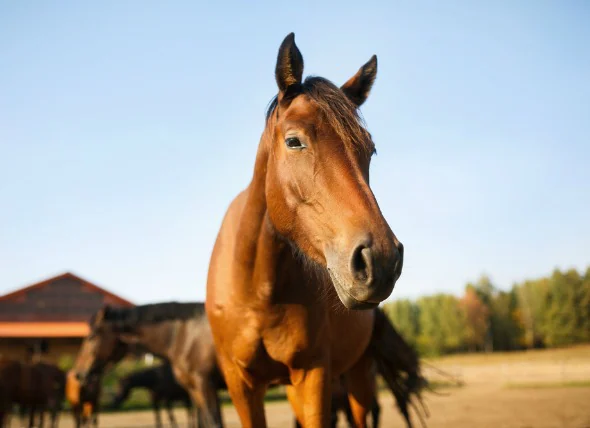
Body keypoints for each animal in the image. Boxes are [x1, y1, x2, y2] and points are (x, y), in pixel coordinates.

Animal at [70, 302, 227, 426]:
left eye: (91, 337)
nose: (78, 373)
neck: (184, 335)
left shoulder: (205, 385)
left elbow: (215, 422)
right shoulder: (194, 390)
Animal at [208, 31, 408, 426]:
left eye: (370, 150)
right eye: (293, 141)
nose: (380, 260)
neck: (258, 289)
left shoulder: (313, 374)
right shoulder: (241, 384)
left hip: (357, 378)